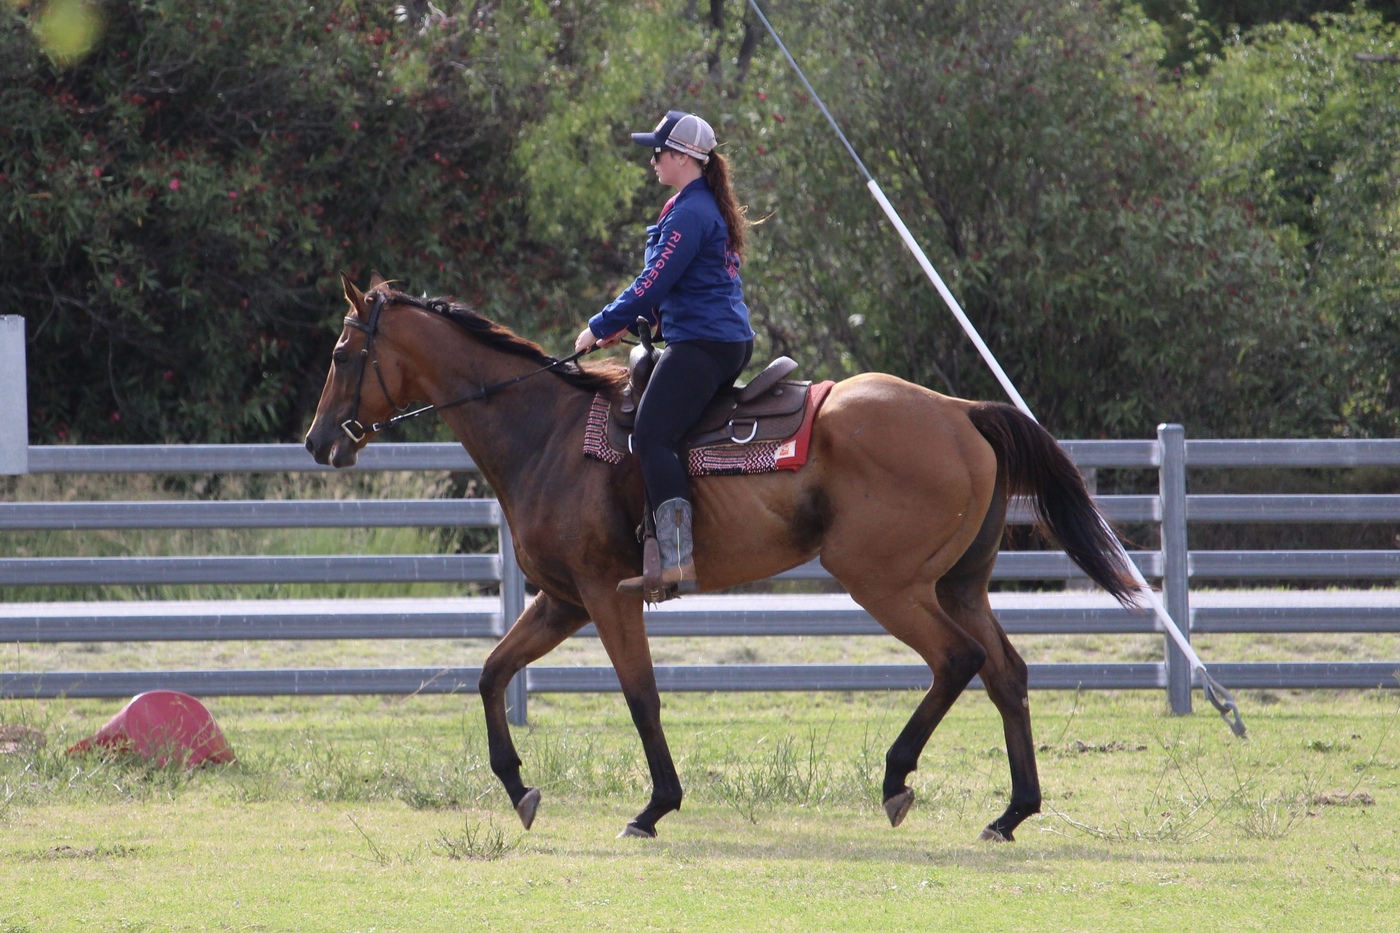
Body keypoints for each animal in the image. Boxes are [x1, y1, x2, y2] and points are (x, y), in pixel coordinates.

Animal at [304, 273, 1139, 841]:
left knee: (957, 660)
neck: (547, 432)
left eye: (344, 352)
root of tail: (960, 411)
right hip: (958, 584)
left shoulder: (606, 594)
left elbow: (641, 696)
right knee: (1006, 672)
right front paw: (518, 789)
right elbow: (491, 672)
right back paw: (1012, 811)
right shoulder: (561, 600)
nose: (317, 442)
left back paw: (896, 778)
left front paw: (654, 806)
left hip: (888, 583)